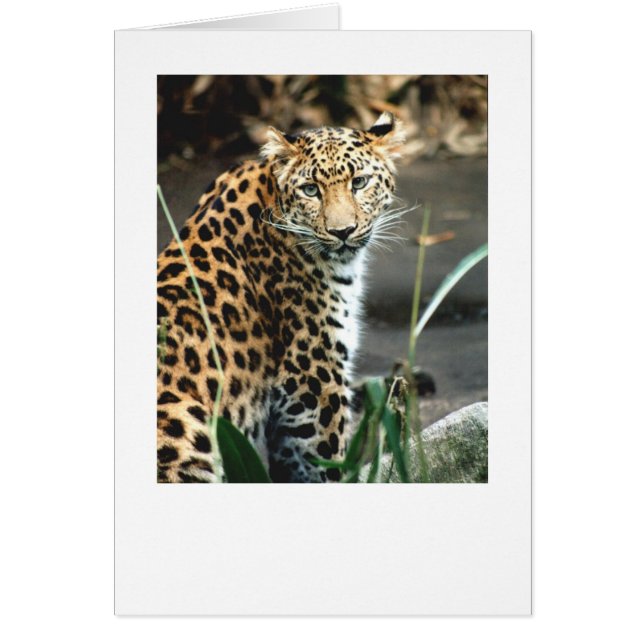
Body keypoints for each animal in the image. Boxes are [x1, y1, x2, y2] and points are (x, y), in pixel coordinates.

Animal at [157, 111, 406, 483]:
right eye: (310, 190)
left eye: (359, 183)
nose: (342, 232)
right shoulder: (311, 385)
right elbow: (327, 465)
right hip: (186, 419)